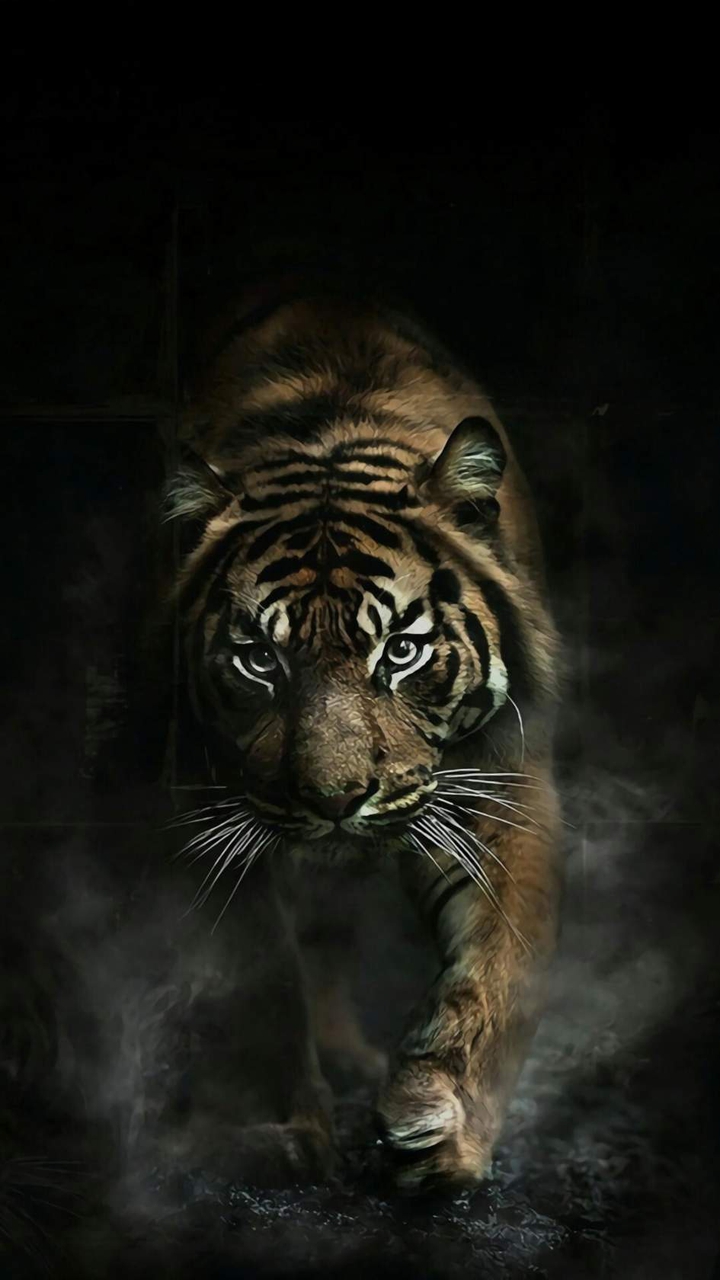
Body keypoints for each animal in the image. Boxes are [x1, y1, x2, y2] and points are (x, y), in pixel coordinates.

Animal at [162, 279, 562, 1193]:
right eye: (259, 659)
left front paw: (441, 1126)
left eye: (402, 651)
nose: (336, 799)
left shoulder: (503, 782)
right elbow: (264, 977)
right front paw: (288, 1131)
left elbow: (499, 965)